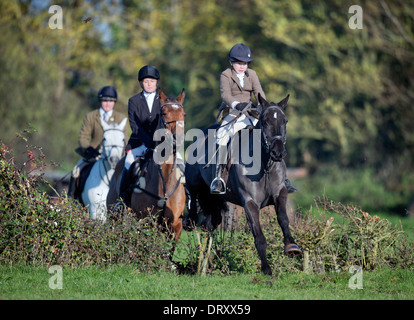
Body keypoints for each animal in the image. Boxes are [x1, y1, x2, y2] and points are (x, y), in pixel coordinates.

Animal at [106, 90, 186, 248]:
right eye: (164, 113)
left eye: (183, 114)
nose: (177, 139)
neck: (165, 181)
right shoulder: (146, 222)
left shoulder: (175, 225)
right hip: (115, 215)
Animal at [184, 92, 300, 276]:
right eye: (265, 121)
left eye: (285, 121)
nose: (278, 153)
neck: (265, 165)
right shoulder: (249, 203)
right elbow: (259, 236)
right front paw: (266, 268)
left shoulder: (280, 194)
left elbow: (283, 219)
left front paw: (292, 247)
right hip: (194, 184)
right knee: (193, 201)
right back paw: (190, 224)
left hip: (216, 200)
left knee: (210, 226)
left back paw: (207, 262)